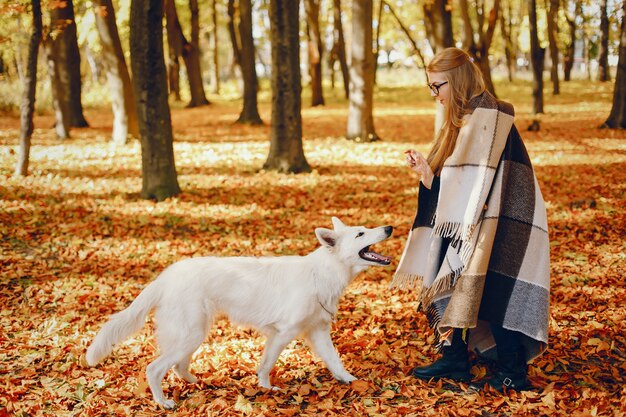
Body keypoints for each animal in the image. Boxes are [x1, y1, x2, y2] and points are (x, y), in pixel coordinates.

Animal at [86, 216, 390, 408]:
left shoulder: (318, 331)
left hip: (195, 332)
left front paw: (351, 381)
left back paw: (198, 383)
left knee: (179, 365)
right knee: (154, 368)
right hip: (192, 333)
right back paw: (163, 402)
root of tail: (167, 276)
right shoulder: (283, 333)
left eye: (366, 228)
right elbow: (266, 365)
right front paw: (266, 388)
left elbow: (335, 361)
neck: (323, 273)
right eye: (360, 234)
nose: (388, 228)